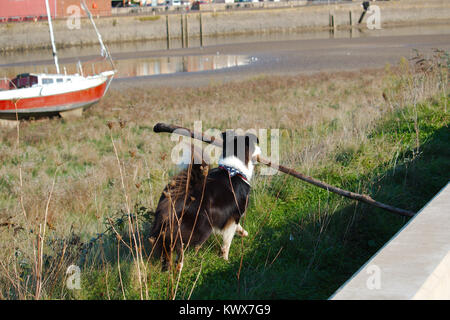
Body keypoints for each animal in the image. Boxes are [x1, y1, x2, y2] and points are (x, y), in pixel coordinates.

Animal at [149, 130, 260, 270]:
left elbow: (236, 228)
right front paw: (225, 259)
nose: (261, 149)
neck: (233, 169)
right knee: (179, 246)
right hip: (201, 228)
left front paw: (243, 232)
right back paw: (180, 265)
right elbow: (227, 240)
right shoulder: (235, 214)